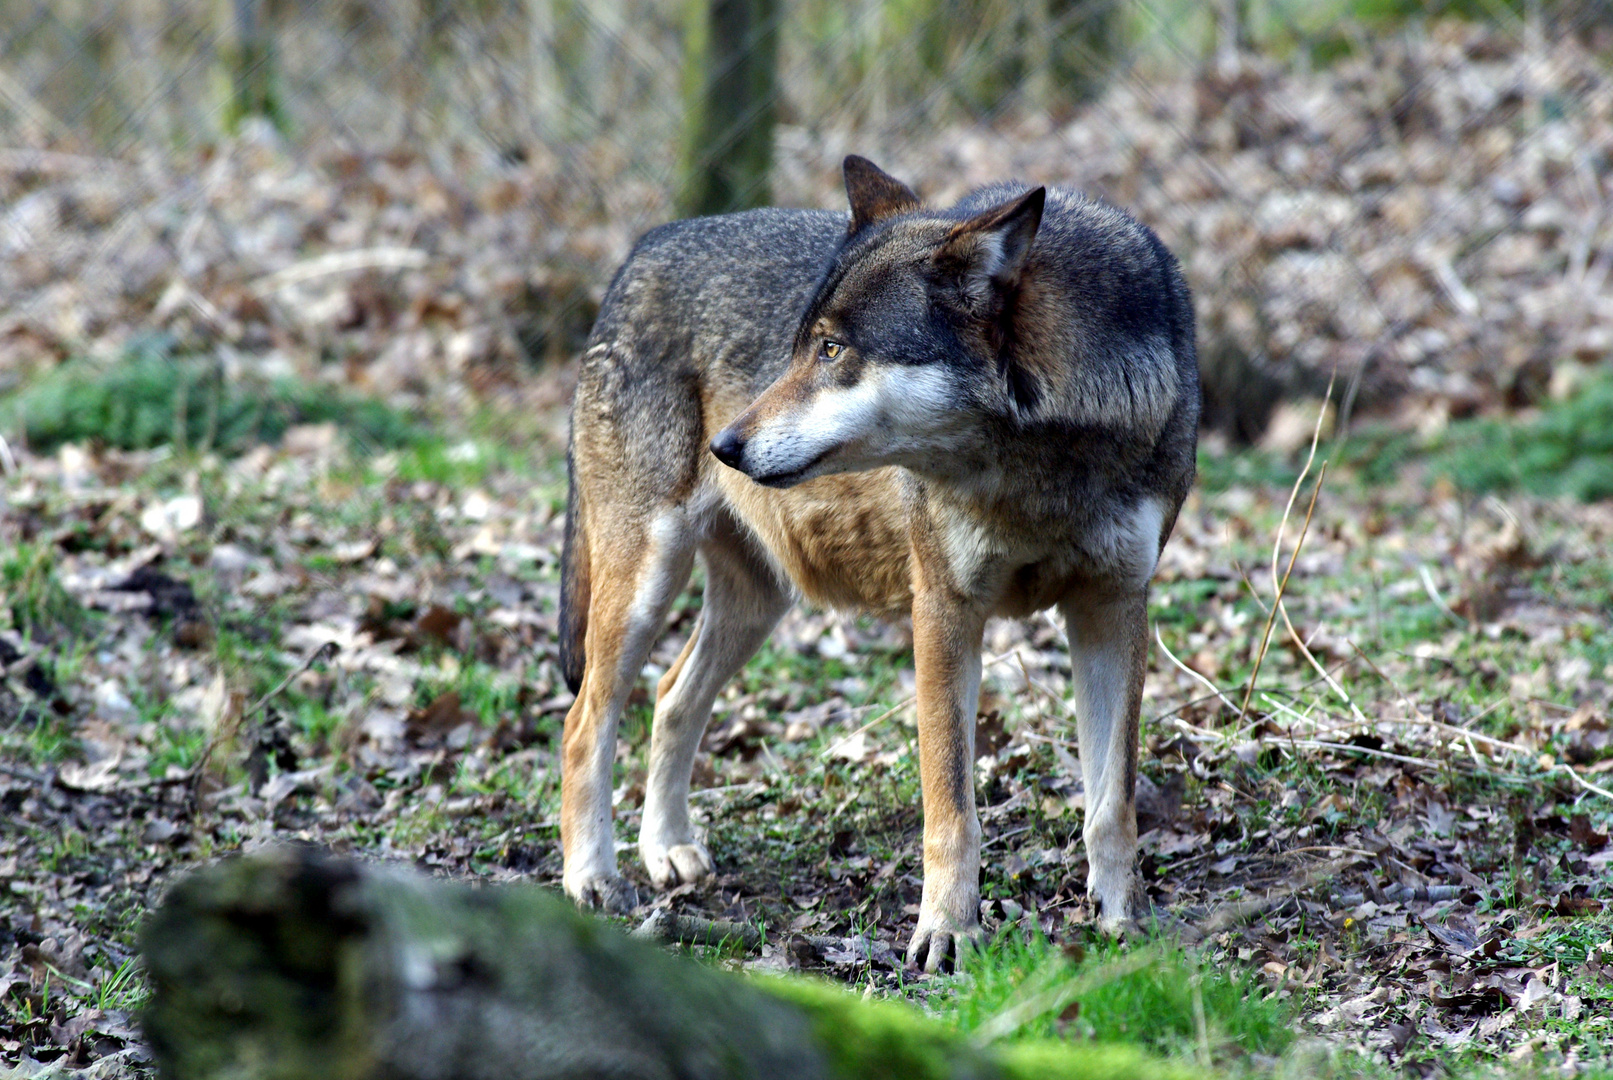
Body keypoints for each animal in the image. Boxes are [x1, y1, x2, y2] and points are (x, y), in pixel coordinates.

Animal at [554, 154, 1200, 973]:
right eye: (801, 345)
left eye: (831, 350)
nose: (723, 446)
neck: (1041, 467)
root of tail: (644, 248)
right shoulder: (944, 610)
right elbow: (951, 807)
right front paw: (948, 934)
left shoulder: (1112, 609)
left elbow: (1111, 803)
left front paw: (1126, 923)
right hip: (645, 585)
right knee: (584, 722)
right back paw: (592, 880)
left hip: (754, 607)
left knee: (670, 697)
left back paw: (666, 850)